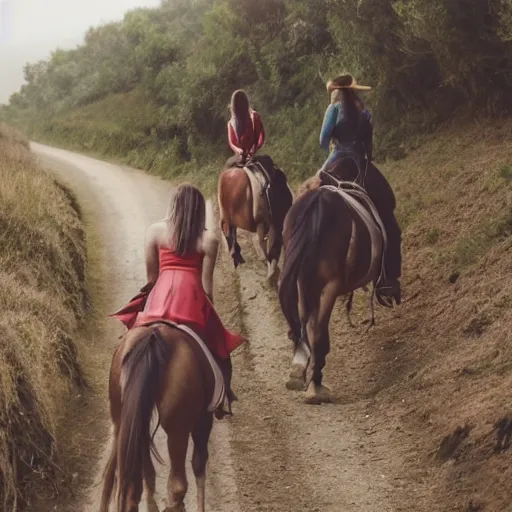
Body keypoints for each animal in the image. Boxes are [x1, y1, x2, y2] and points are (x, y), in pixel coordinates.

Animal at [100, 324, 218, 512]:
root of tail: (152, 339)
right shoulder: (204, 418)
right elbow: (199, 464)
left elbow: (148, 473)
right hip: (179, 430)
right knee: (178, 485)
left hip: (123, 417)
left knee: (133, 490)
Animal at [278, 176, 386, 404]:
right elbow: (317, 329)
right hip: (329, 286)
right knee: (318, 329)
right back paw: (316, 384)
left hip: (306, 285)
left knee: (306, 326)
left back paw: (301, 371)